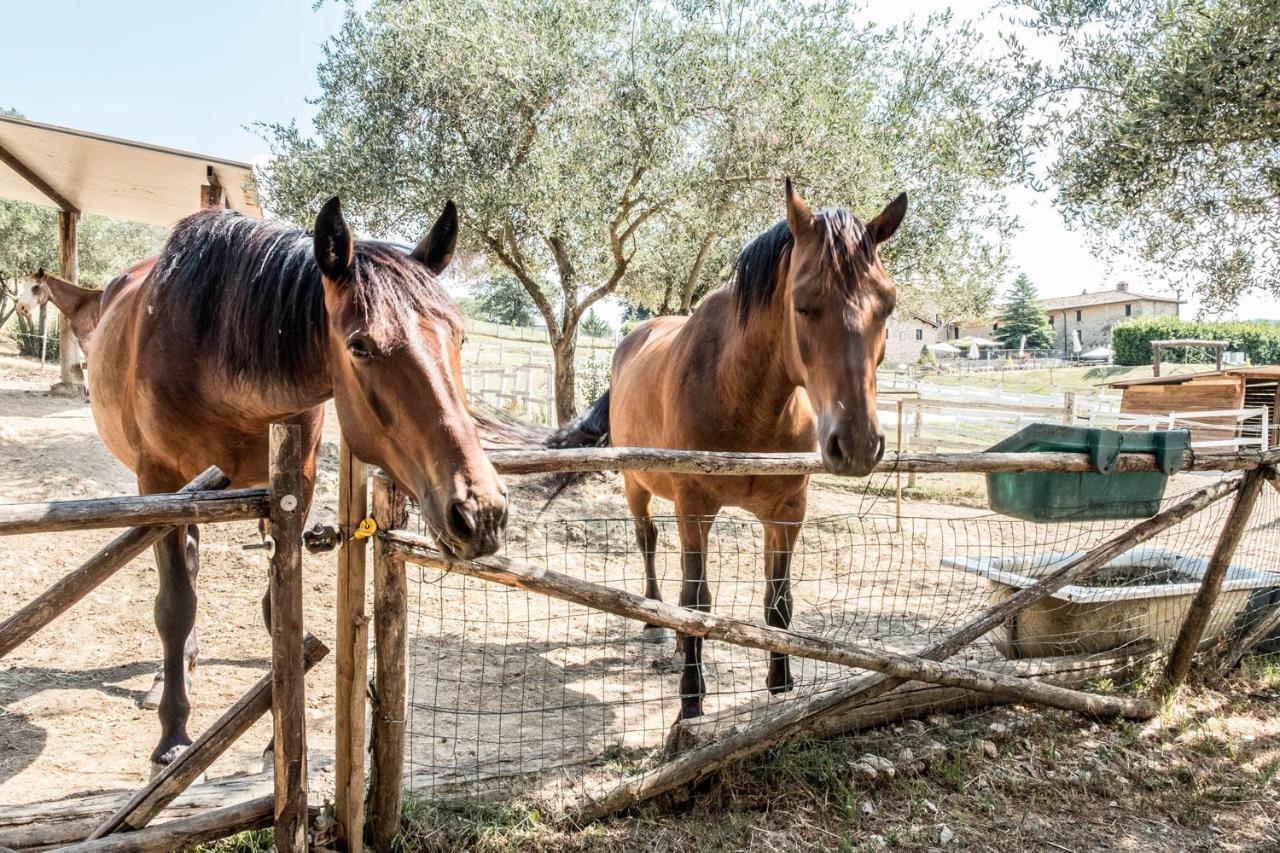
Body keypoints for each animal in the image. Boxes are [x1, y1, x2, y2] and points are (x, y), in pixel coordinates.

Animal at [90, 199, 506, 763]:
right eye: (360, 346)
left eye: (460, 336)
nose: (481, 512)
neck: (213, 356)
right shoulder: (158, 482)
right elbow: (175, 606)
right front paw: (174, 735)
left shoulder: (293, 486)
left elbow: (277, 609)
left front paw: (280, 731)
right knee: (184, 581)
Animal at [555, 180, 906, 717]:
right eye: (803, 304)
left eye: (887, 305)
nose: (859, 445)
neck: (745, 399)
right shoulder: (695, 505)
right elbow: (698, 602)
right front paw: (692, 701)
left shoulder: (787, 512)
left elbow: (777, 603)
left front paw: (780, 689)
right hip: (637, 484)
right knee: (649, 544)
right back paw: (657, 625)